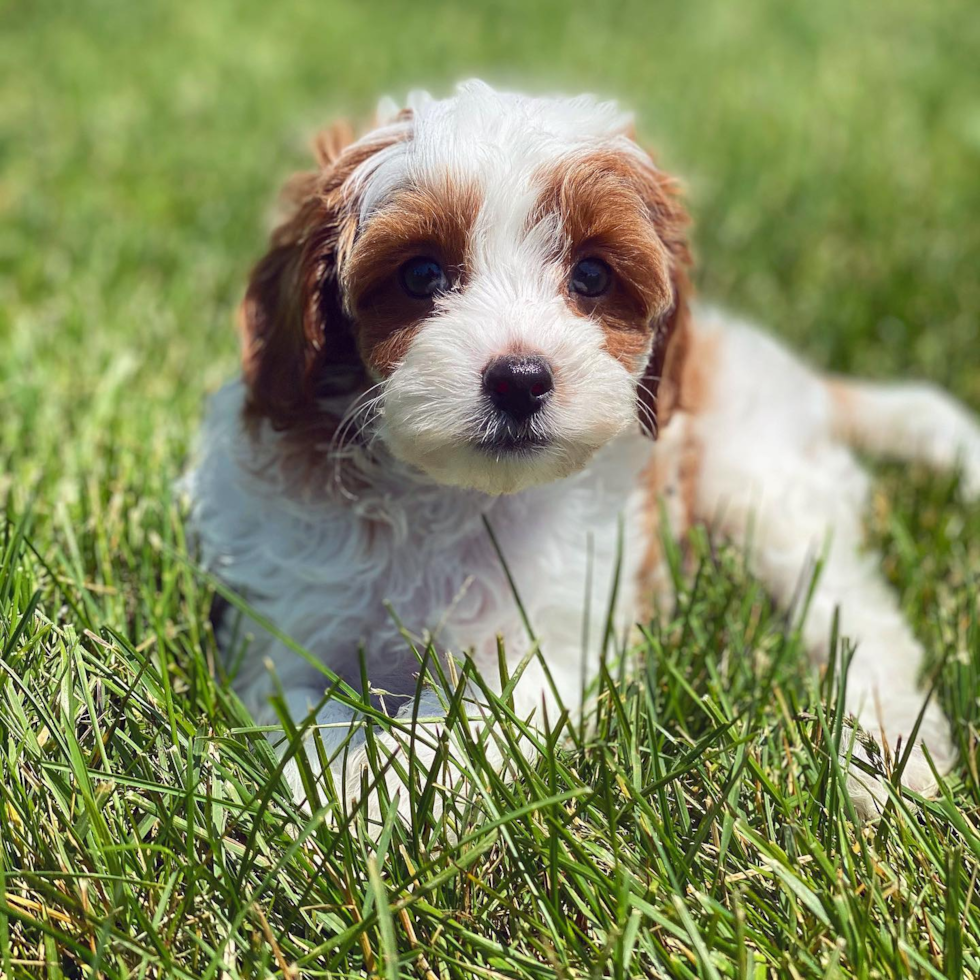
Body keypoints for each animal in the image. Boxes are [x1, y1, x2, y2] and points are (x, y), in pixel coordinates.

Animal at [184, 80, 980, 824]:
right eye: (419, 276)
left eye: (592, 276)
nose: (520, 379)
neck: (456, 495)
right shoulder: (285, 633)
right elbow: (304, 712)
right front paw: (335, 785)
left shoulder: (551, 659)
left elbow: (454, 728)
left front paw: (376, 795)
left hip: (763, 485)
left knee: (854, 614)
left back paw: (889, 759)